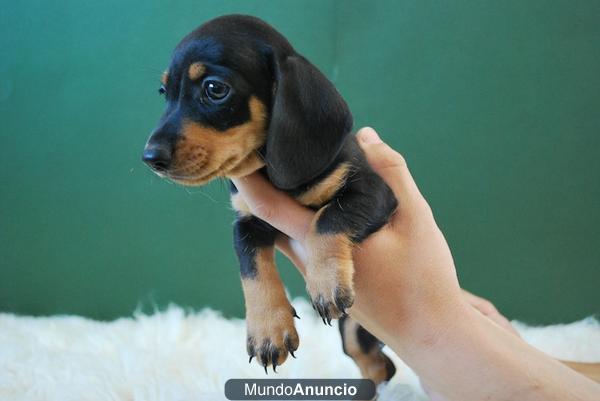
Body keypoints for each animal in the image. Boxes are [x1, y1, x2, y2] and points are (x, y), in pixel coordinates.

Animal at [142, 13, 398, 382]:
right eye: (165, 92)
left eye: (215, 89)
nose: (150, 158)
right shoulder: (247, 222)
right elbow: (252, 269)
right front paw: (268, 331)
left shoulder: (373, 191)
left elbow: (327, 219)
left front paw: (325, 282)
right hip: (356, 335)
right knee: (375, 363)